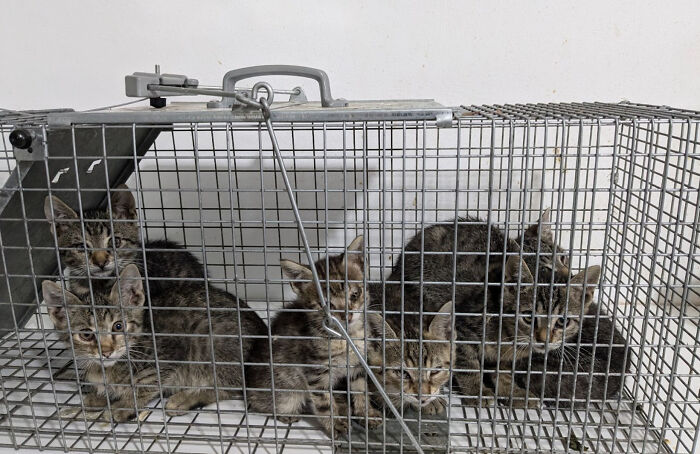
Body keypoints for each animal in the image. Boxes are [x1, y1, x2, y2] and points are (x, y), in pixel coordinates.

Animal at [43, 264, 268, 420]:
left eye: (118, 326)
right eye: (86, 335)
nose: (106, 351)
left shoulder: (171, 353)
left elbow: (147, 384)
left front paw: (123, 405)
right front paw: (99, 395)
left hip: (211, 343)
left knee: (231, 387)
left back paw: (183, 400)